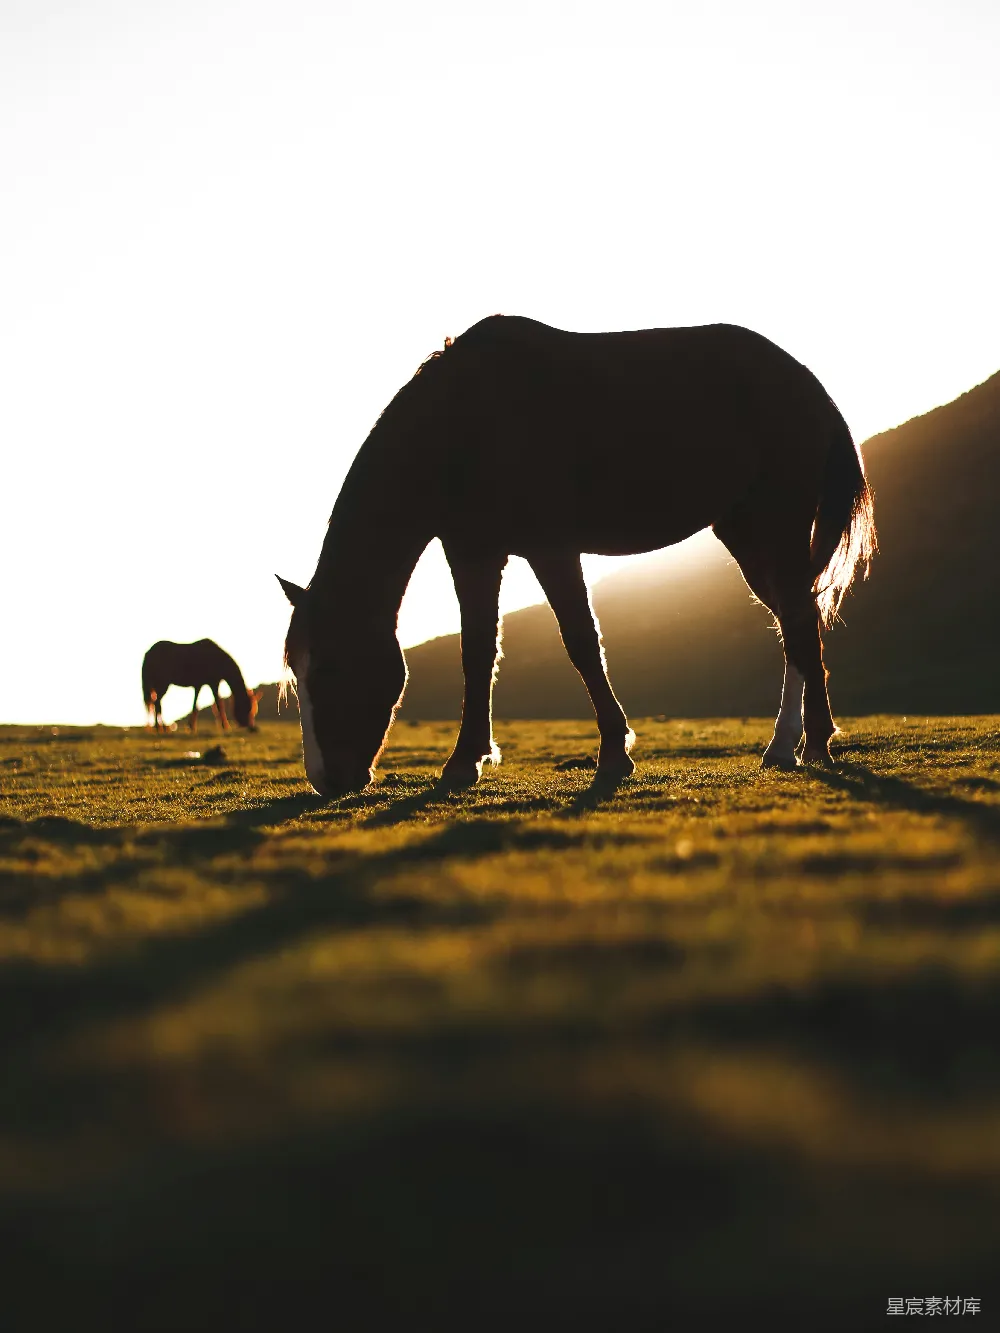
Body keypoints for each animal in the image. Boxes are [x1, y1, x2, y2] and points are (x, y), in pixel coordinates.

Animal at [278, 316, 875, 798]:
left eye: (327, 666)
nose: (325, 780)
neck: (465, 424)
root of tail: (805, 381)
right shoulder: (473, 554)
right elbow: (478, 653)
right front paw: (466, 761)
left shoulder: (551, 548)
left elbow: (582, 643)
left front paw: (614, 752)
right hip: (745, 531)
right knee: (797, 621)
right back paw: (801, 742)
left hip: (777, 524)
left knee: (798, 622)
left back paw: (799, 744)